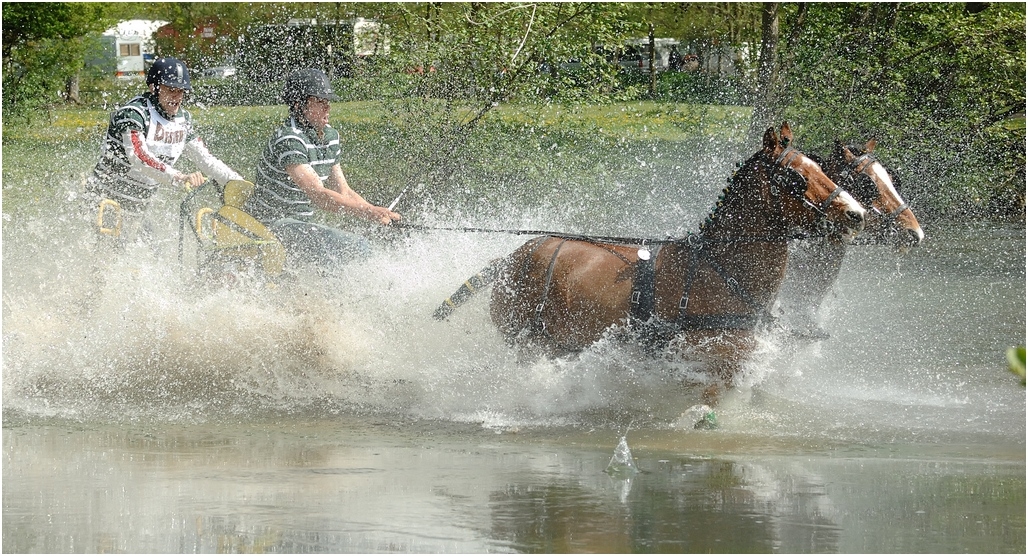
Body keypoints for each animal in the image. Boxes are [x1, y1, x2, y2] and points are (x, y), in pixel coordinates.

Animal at [432, 122, 867, 414]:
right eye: (796, 177)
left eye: (822, 168)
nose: (856, 214)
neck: (719, 271)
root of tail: (514, 255)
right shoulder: (703, 357)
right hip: (527, 341)